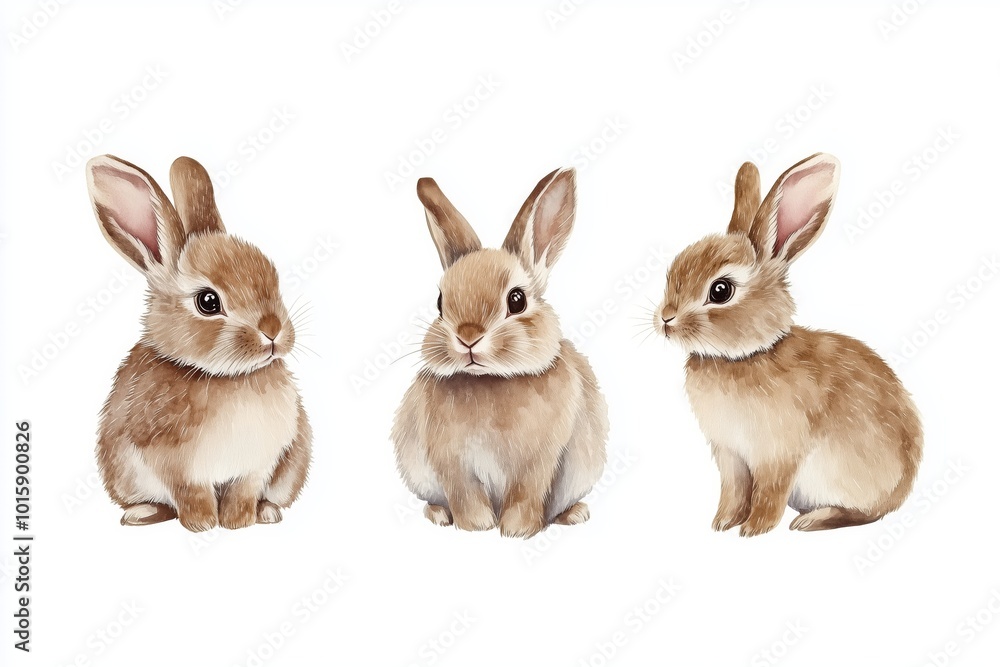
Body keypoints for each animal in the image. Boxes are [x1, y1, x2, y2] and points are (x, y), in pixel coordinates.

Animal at [85, 155, 312, 532]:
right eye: (208, 302)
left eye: (271, 274)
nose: (273, 330)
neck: (226, 377)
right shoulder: (174, 466)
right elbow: (190, 493)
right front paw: (203, 523)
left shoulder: (258, 464)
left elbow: (243, 491)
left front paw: (237, 522)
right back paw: (141, 514)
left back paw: (267, 513)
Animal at [392, 168, 609, 538]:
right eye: (440, 303)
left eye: (517, 300)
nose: (468, 337)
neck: (490, 379)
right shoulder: (452, 462)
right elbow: (465, 494)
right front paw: (477, 527)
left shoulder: (539, 463)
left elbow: (526, 494)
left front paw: (516, 531)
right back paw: (438, 514)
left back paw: (575, 514)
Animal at [653, 153, 922, 536]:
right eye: (673, 269)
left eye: (721, 291)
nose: (665, 319)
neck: (745, 356)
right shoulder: (730, 455)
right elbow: (734, 490)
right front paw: (723, 523)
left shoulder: (778, 453)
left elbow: (770, 491)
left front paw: (754, 529)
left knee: (864, 513)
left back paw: (812, 519)